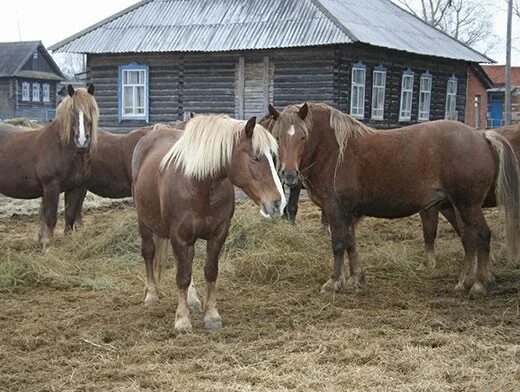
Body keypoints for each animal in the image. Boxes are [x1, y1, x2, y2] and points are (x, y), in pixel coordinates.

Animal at [0, 85, 98, 250]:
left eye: (91, 109)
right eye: (72, 111)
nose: (82, 141)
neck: (60, 146)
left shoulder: (75, 187)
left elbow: (69, 216)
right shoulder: (51, 187)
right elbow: (50, 217)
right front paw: (46, 244)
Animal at [130, 114, 284, 330]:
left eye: (273, 157)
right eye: (255, 157)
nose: (278, 203)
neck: (198, 185)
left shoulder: (218, 234)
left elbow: (210, 272)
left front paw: (211, 315)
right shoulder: (179, 236)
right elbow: (182, 277)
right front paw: (182, 319)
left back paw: (193, 300)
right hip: (144, 221)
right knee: (149, 253)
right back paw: (151, 295)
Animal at [268, 102, 520, 298]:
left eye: (303, 137)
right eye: (277, 137)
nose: (288, 175)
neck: (335, 152)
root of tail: (481, 136)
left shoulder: (336, 210)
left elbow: (339, 245)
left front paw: (333, 283)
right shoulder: (348, 212)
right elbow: (351, 244)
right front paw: (356, 279)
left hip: (468, 205)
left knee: (482, 236)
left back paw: (479, 285)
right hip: (457, 206)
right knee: (469, 239)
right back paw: (464, 282)